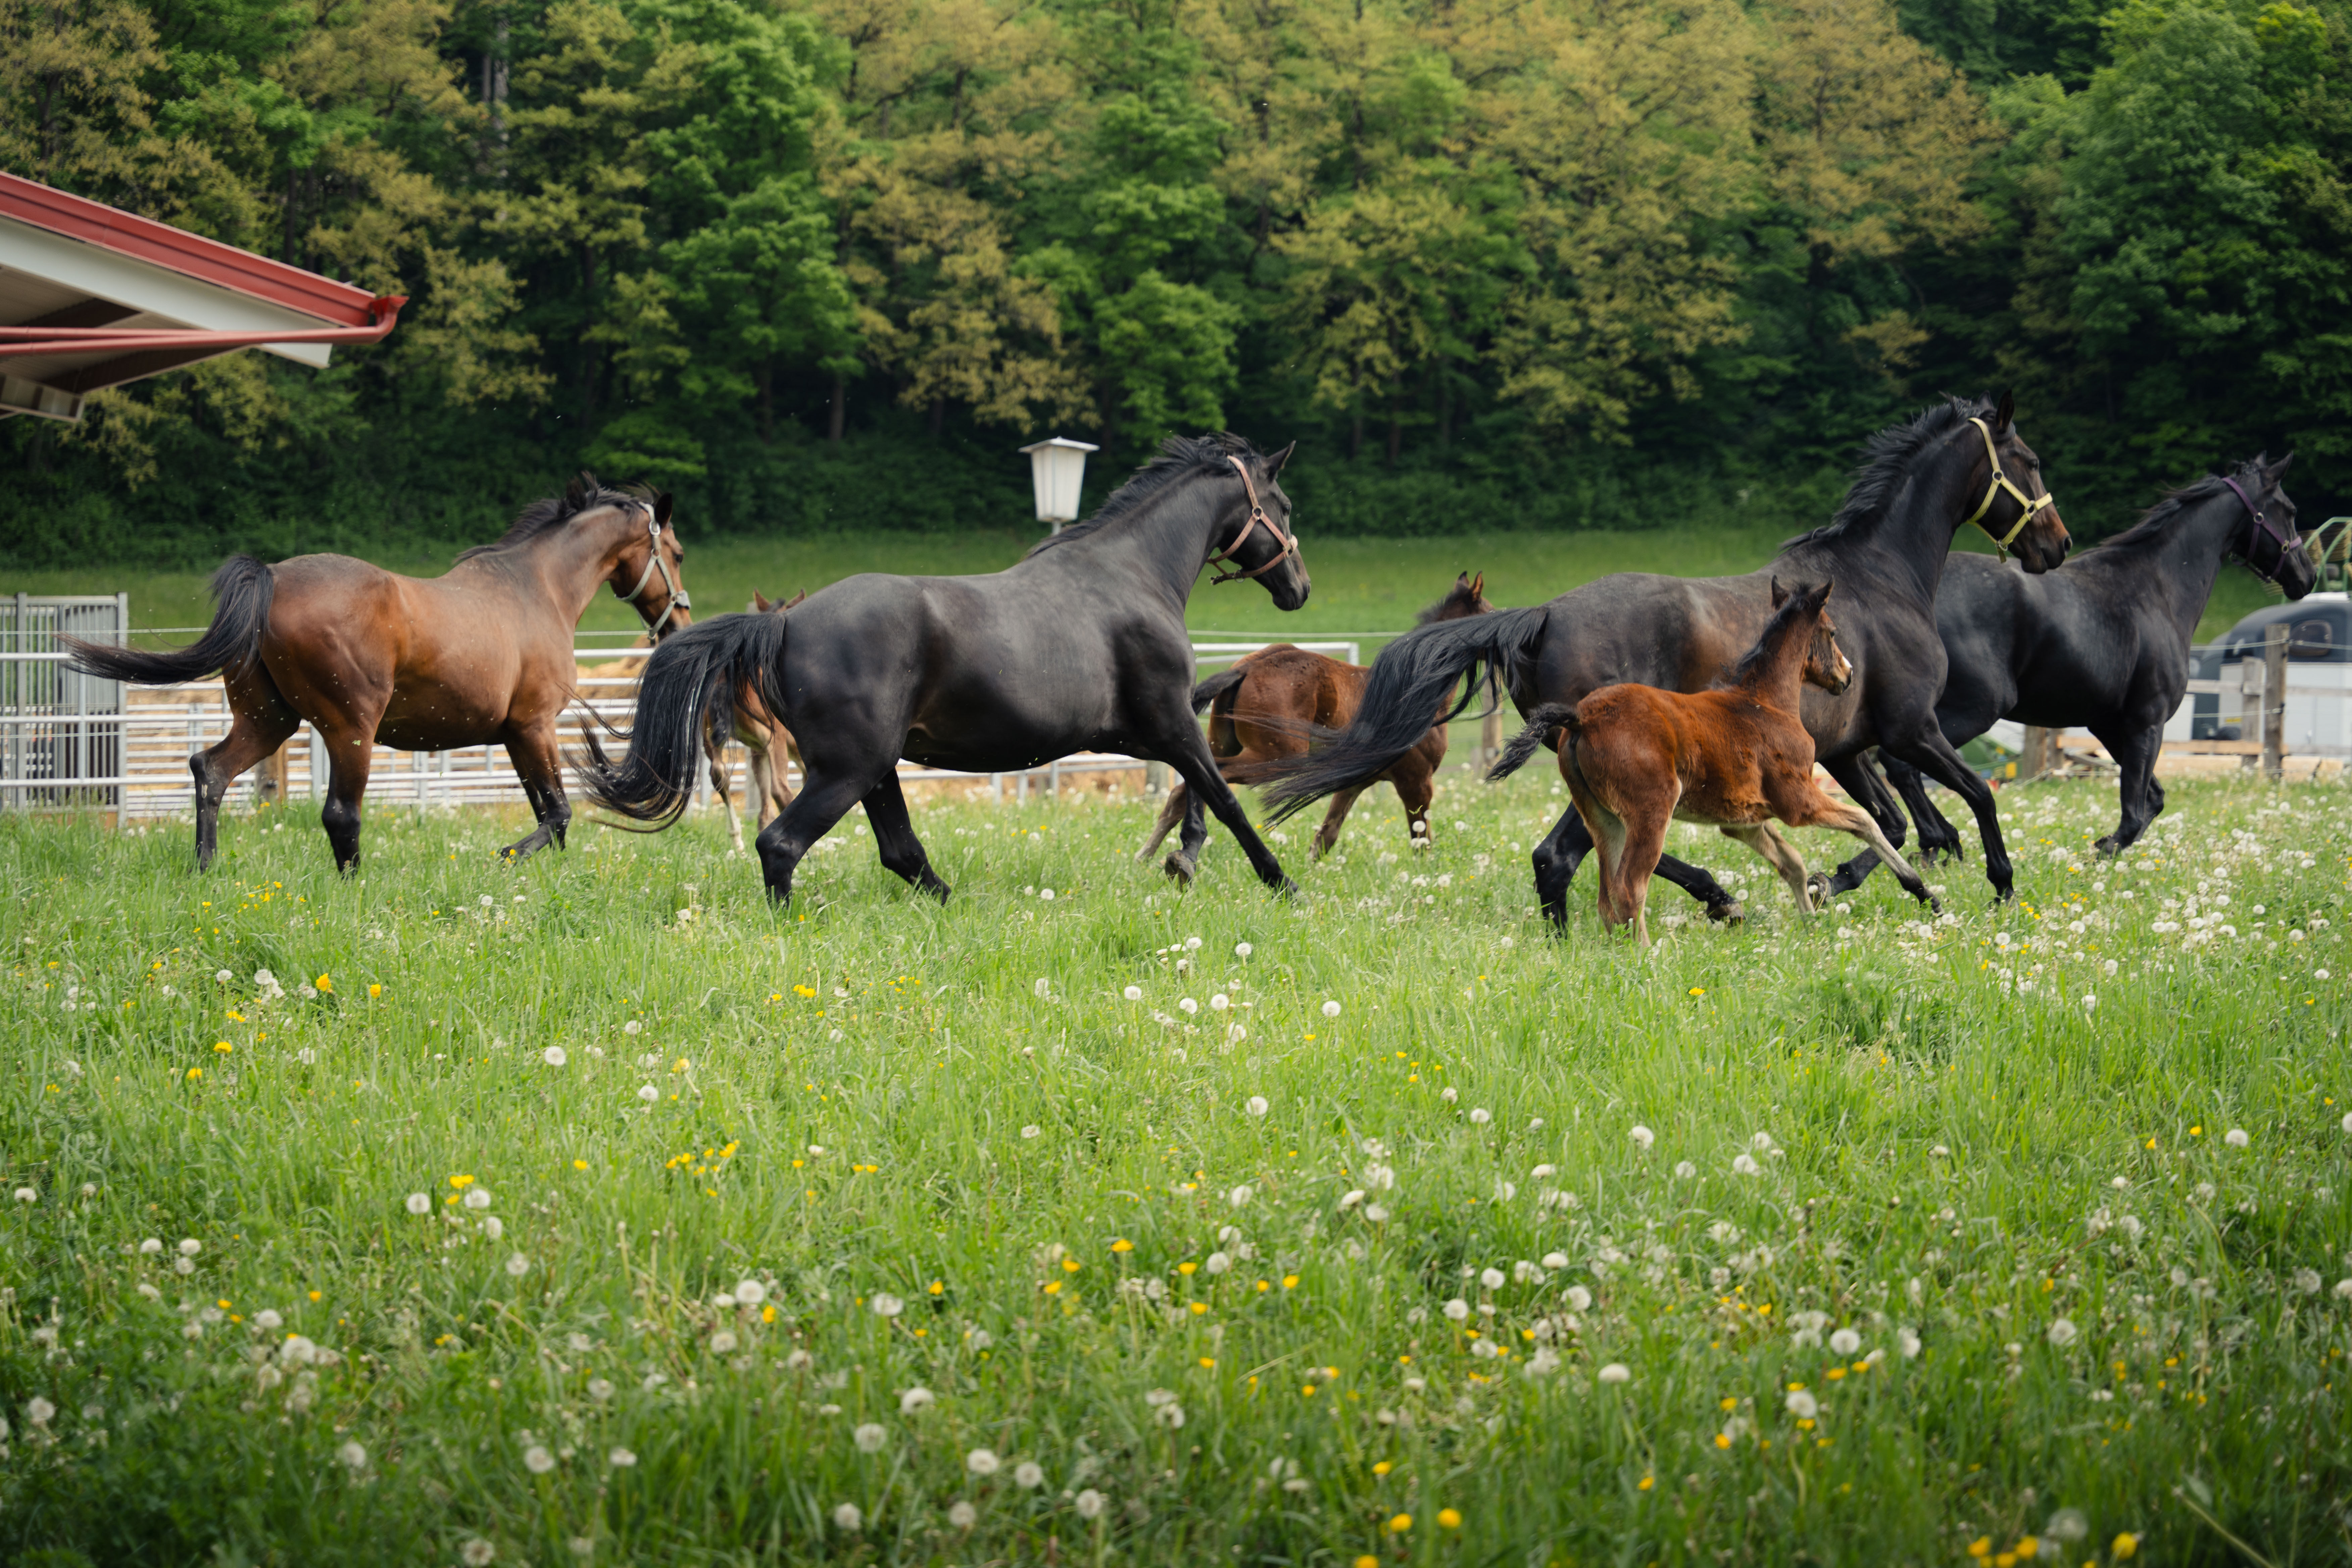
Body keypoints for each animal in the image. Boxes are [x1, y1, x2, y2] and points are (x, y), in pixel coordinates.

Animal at [63, 474, 691, 872]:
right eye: (678, 553)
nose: (679, 621)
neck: (537, 589)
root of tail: (272, 578)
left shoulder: (515, 734)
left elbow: (549, 813)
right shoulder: (535, 725)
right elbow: (557, 813)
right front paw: (506, 857)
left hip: (268, 721)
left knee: (210, 770)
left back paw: (206, 869)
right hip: (351, 729)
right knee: (341, 815)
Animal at [578, 433, 1311, 904]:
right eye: (1283, 506)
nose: (1300, 588)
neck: (1131, 573)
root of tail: (785, 623)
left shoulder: (1139, 733)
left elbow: (1195, 790)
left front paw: (1183, 859)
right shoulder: (1166, 720)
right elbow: (1223, 796)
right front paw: (1281, 883)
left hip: (874, 768)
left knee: (898, 851)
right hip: (849, 769)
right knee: (780, 844)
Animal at [1134, 571, 1496, 879]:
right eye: (1492, 611)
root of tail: (1246, 668)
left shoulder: (1357, 781)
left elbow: (1327, 836)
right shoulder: (1417, 781)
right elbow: (1421, 839)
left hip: (1219, 743)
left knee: (1181, 791)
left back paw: (1150, 858)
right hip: (1276, 758)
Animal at [1491, 579, 1937, 942]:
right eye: (1832, 631)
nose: (1848, 675)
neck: (1764, 702)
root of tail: (1583, 718)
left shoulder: (1743, 820)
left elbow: (1792, 862)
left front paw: (1812, 919)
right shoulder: (1798, 801)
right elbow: (1865, 822)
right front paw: (1922, 892)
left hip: (1604, 819)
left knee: (1607, 893)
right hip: (1651, 812)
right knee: (1630, 887)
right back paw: (1647, 955)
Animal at [1818, 453, 2314, 896]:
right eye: (2289, 511)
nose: (2305, 577)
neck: (2159, 590)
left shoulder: (2109, 725)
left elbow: (2151, 801)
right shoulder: (2147, 722)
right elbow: (2134, 814)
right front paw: (2097, 855)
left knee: (1890, 771)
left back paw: (1922, 851)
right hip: (1964, 712)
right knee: (1903, 767)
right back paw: (1915, 852)